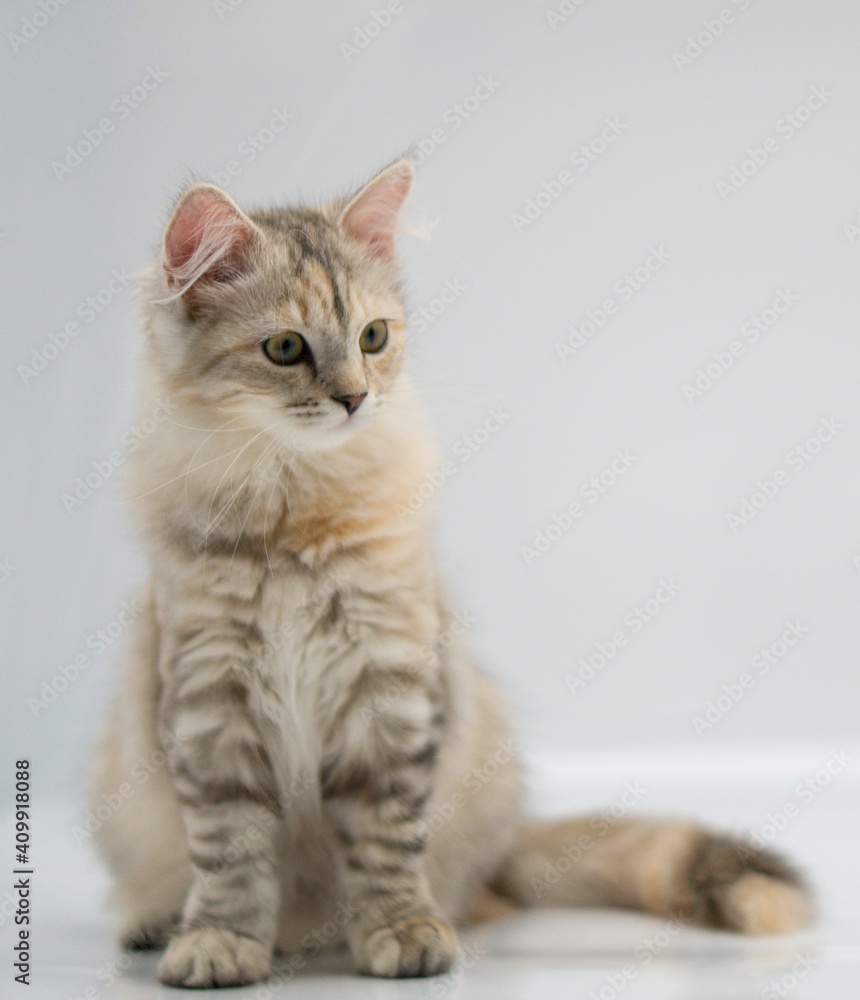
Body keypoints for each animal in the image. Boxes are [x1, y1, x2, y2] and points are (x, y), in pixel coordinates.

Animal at [90, 160, 808, 988]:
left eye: (373, 338)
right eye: (284, 348)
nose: (354, 398)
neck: (298, 508)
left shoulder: (388, 684)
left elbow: (383, 842)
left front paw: (402, 933)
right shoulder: (210, 694)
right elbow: (231, 851)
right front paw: (221, 941)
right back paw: (154, 922)